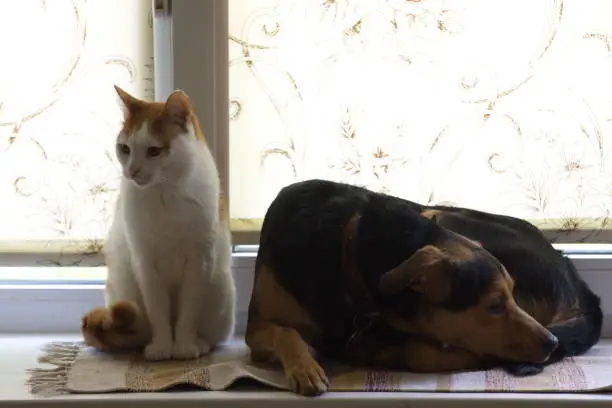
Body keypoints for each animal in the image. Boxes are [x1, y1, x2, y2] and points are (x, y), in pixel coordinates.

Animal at [81, 85, 234, 360]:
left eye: (154, 151)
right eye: (125, 148)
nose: (132, 171)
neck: (164, 193)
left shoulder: (199, 261)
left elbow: (188, 312)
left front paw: (184, 346)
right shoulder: (144, 261)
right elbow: (158, 310)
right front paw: (162, 346)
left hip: (220, 288)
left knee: (211, 334)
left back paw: (201, 343)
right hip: (124, 285)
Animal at [245, 178, 604, 396]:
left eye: (512, 295)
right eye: (493, 305)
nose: (551, 343)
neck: (349, 247)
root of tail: (574, 278)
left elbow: (418, 351)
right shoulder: (256, 328)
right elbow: (285, 332)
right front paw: (304, 367)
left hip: (442, 214)